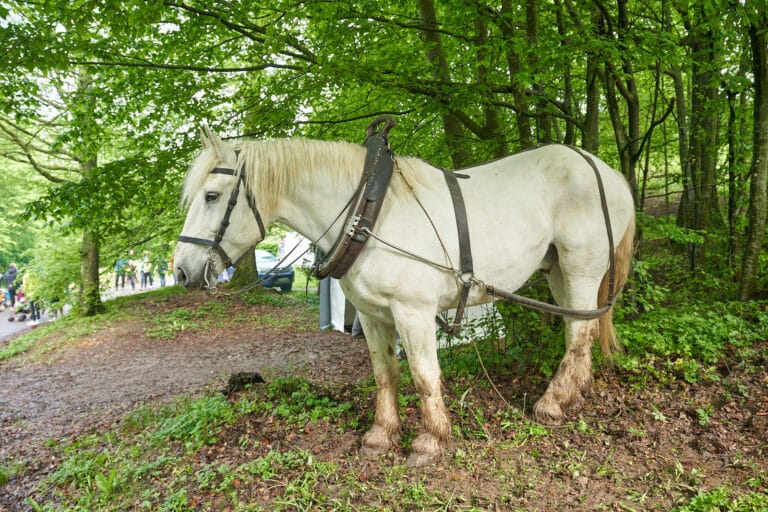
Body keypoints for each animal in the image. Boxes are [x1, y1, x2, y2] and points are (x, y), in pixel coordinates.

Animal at [176, 127, 636, 468]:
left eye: (211, 196)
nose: (181, 270)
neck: (368, 212)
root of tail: (607, 171)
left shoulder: (413, 313)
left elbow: (423, 375)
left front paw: (430, 440)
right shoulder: (373, 315)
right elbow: (385, 375)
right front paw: (381, 436)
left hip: (581, 266)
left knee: (578, 333)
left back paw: (552, 404)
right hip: (558, 270)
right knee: (580, 328)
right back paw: (574, 391)